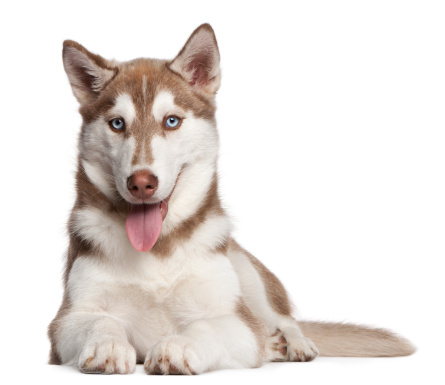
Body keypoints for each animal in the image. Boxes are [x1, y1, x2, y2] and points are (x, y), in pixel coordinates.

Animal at [46, 23, 414, 372]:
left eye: (171, 121)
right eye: (118, 124)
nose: (141, 183)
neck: (158, 249)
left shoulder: (238, 321)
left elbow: (209, 327)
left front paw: (178, 346)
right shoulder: (66, 320)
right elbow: (97, 320)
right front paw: (106, 345)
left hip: (245, 269)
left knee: (283, 318)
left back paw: (292, 343)